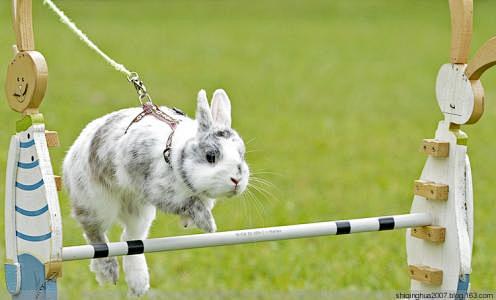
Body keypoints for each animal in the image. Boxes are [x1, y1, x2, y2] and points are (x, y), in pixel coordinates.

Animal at [62, 88, 250, 296]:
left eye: (242, 154)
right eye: (211, 156)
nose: (237, 180)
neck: (174, 153)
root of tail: (71, 155)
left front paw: (189, 222)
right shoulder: (159, 192)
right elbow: (191, 204)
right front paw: (208, 225)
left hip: (139, 213)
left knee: (130, 240)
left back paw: (138, 284)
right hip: (97, 205)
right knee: (95, 236)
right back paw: (108, 272)